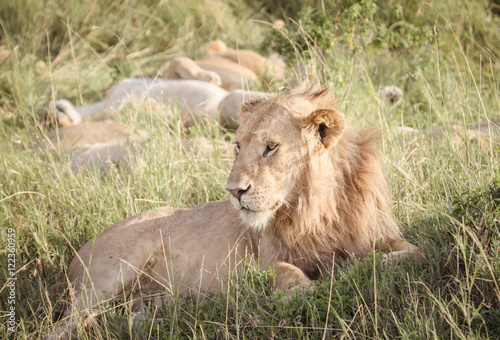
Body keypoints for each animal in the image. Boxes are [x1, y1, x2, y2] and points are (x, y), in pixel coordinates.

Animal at [47, 84, 422, 338]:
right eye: (238, 146)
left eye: (270, 147)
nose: (233, 191)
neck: (315, 209)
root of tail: (77, 254)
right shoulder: (267, 260)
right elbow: (296, 280)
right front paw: (332, 279)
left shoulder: (382, 236)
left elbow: (415, 252)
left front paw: (363, 266)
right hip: (107, 277)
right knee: (64, 325)